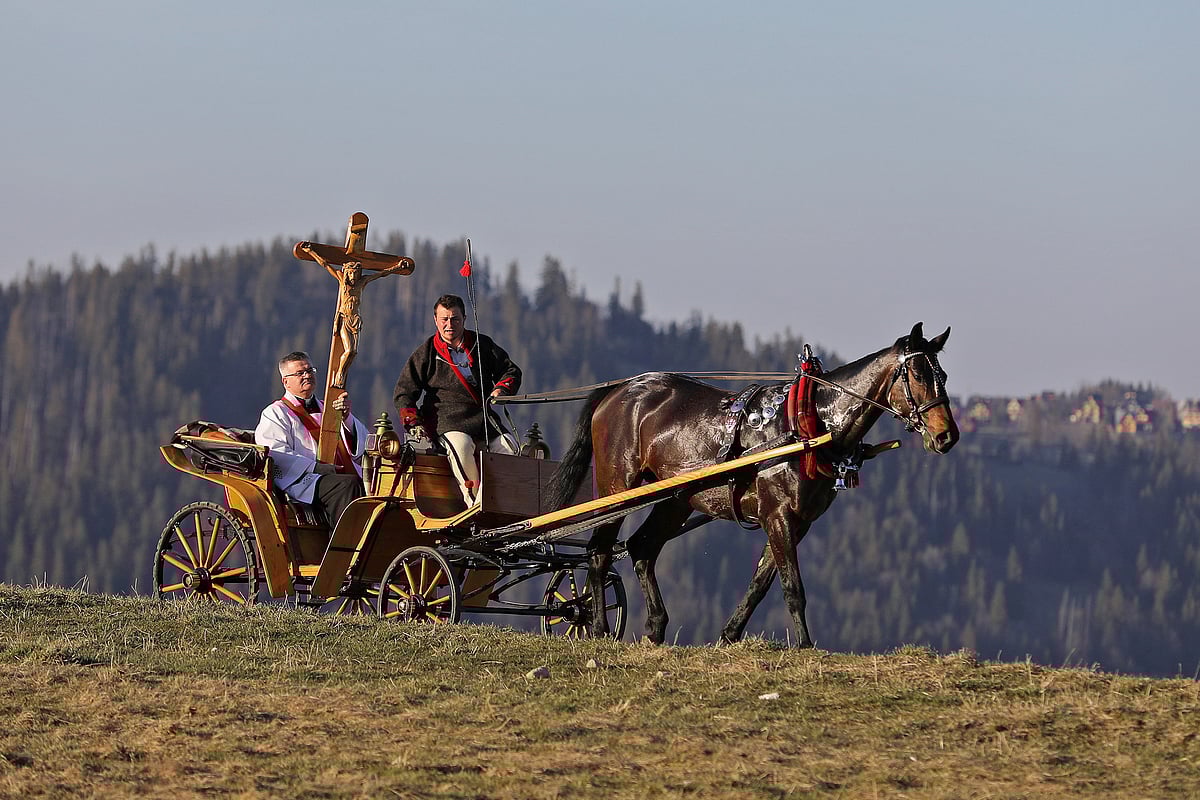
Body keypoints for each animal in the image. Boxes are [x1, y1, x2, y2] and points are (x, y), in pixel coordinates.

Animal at [547, 322, 959, 647]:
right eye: (918, 375)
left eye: (943, 376)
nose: (947, 436)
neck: (809, 424)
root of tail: (618, 390)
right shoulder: (777, 514)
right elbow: (792, 588)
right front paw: (805, 646)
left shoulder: (799, 522)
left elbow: (761, 584)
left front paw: (729, 635)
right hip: (618, 486)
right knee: (599, 551)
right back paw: (598, 628)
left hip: (676, 499)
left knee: (641, 548)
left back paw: (656, 627)